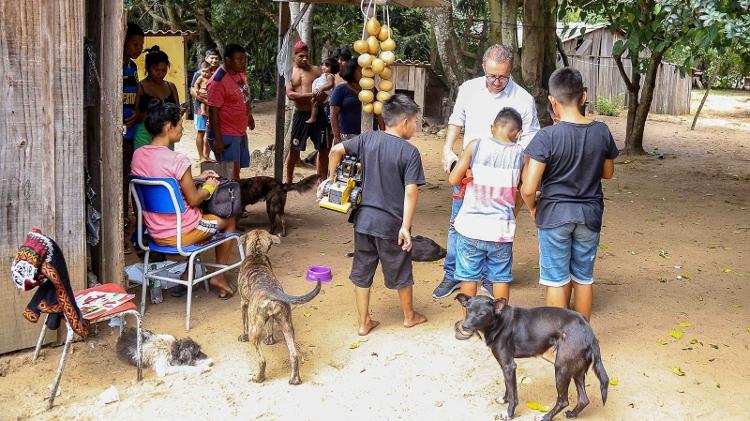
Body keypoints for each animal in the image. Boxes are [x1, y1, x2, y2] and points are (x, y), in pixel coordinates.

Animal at [239, 230, 322, 384]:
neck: (256, 254)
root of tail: (272, 292)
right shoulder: (273, 318)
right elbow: (270, 326)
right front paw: (270, 340)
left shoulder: (243, 303)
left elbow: (244, 323)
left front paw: (243, 336)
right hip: (287, 325)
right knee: (294, 355)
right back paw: (294, 379)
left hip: (255, 331)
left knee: (262, 360)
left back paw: (258, 378)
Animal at [456, 292, 608, 420]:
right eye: (468, 310)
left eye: (481, 314)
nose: (464, 326)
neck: (498, 321)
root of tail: (589, 332)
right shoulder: (506, 366)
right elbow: (507, 386)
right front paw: (504, 399)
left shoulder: (509, 365)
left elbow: (513, 395)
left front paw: (509, 413)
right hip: (576, 369)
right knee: (583, 399)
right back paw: (572, 414)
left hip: (562, 368)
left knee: (563, 400)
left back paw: (546, 416)